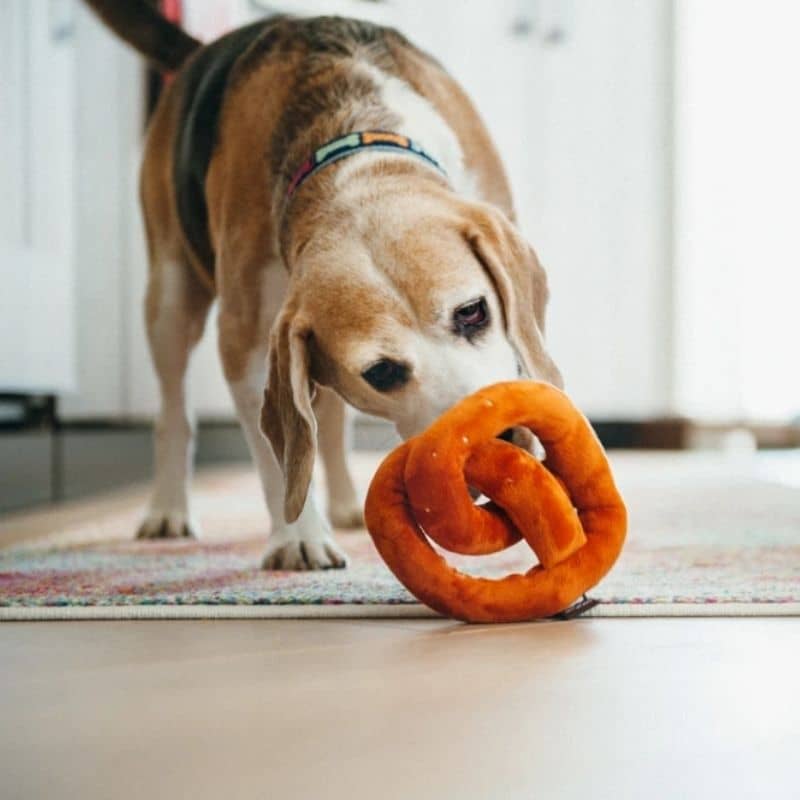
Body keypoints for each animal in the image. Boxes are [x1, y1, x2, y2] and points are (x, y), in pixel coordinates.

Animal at [84, 3, 564, 572]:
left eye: (473, 312)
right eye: (382, 373)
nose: (504, 443)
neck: (352, 150)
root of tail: (199, 51)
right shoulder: (247, 344)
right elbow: (279, 458)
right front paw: (298, 538)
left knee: (328, 418)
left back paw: (344, 504)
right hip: (170, 297)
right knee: (175, 415)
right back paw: (168, 510)